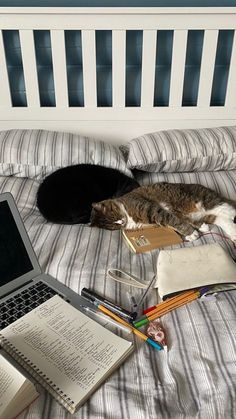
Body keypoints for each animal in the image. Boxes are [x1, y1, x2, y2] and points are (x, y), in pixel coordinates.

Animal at [90, 182, 236, 241]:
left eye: (113, 214)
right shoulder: (164, 218)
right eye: (112, 225)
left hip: (205, 202)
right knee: (221, 219)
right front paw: (195, 231)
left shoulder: (153, 210)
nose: (121, 222)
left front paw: (192, 233)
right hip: (208, 214)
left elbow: (174, 221)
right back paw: (233, 234)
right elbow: (177, 221)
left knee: (227, 209)